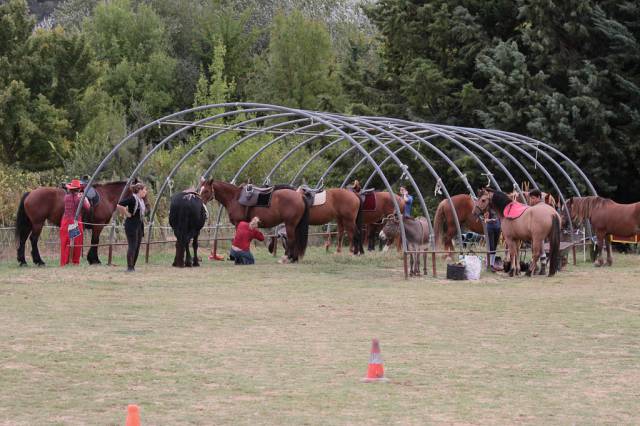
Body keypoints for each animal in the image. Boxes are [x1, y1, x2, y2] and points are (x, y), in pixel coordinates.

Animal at [15, 180, 148, 266]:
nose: (147, 207)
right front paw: (94, 260)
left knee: (23, 239)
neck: (107, 196)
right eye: (142, 193)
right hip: (38, 223)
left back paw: (23, 261)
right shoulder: (98, 225)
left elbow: (94, 241)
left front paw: (92, 259)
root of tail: (30, 193)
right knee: (33, 239)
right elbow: (95, 241)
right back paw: (39, 261)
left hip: (30, 223)